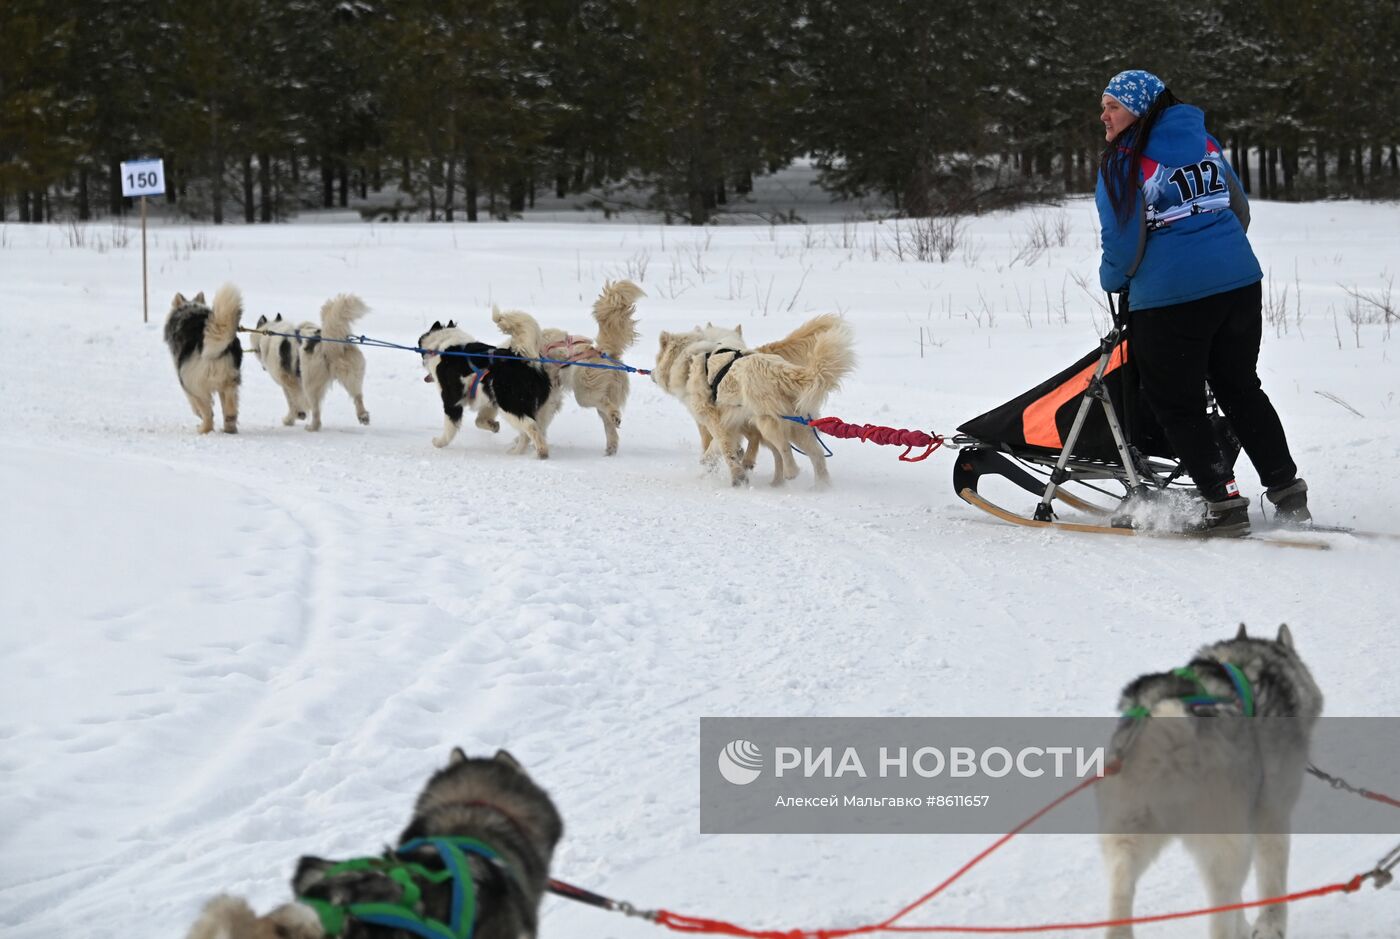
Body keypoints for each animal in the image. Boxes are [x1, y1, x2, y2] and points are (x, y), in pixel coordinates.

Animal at [166, 284, 246, 436]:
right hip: (229, 377)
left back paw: (204, 429)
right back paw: (230, 425)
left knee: (207, 411)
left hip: (193, 383)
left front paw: (197, 414)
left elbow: (194, 404)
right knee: (230, 401)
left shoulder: (185, 382)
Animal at [417, 307, 560, 459]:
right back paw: (518, 451)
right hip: (536, 408)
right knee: (534, 429)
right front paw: (493, 426)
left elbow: (450, 428)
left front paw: (439, 442)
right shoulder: (488, 401)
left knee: (529, 428)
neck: (442, 346)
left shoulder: (452, 401)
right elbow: (479, 421)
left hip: (510, 405)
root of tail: (524, 360)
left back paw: (538, 452)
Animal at [1092, 624, 1321, 939]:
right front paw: (1268, 925)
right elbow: (1271, 883)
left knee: (1121, 891)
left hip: (1127, 838)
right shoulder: (1271, 815)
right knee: (1220, 911)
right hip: (1229, 847)